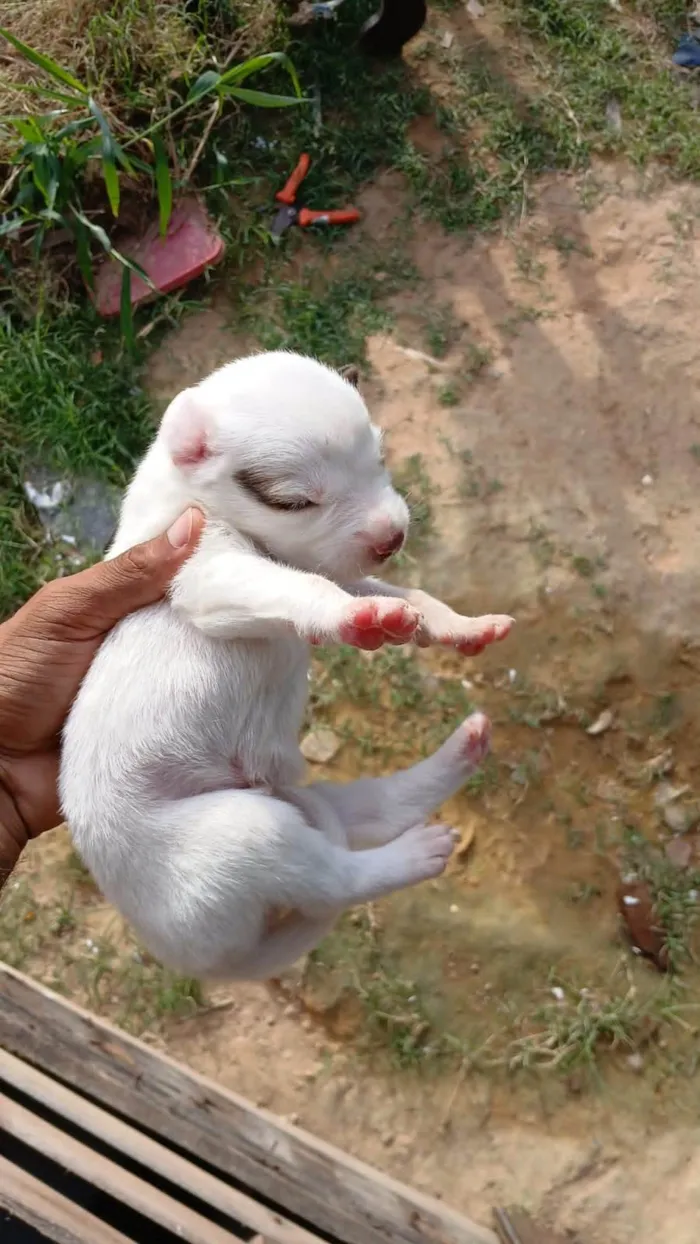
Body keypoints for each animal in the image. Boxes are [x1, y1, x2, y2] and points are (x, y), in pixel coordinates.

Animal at [60, 353, 512, 980]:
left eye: (380, 458)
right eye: (295, 501)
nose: (392, 538)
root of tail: (209, 963)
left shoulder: (334, 565)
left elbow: (403, 594)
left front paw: (455, 624)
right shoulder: (207, 574)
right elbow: (304, 588)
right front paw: (355, 615)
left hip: (284, 804)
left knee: (371, 811)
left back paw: (464, 750)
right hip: (243, 835)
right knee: (338, 880)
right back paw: (416, 855)